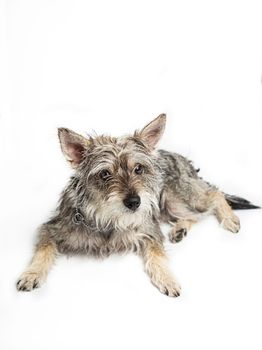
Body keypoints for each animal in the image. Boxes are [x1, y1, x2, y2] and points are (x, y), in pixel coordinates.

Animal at [16, 115, 260, 296]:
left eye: (138, 169)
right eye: (105, 174)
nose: (134, 202)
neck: (107, 218)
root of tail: (182, 159)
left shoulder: (149, 230)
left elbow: (158, 255)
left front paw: (168, 278)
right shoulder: (51, 228)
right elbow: (43, 250)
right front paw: (32, 274)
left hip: (177, 196)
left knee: (214, 195)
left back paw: (230, 219)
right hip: (170, 206)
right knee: (193, 215)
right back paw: (180, 229)